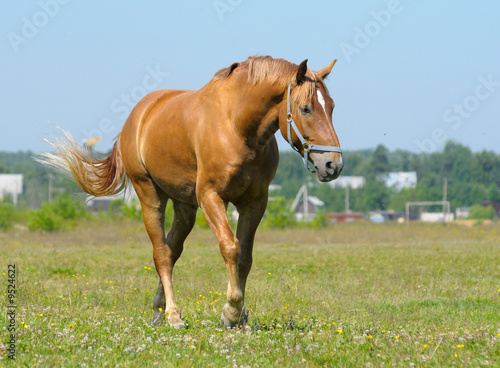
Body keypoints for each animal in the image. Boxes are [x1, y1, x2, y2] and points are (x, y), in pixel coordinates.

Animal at [40, 56, 344, 330]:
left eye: (331, 107)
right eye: (305, 108)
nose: (333, 164)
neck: (236, 126)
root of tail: (137, 116)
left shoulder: (254, 203)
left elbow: (245, 257)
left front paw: (239, 317)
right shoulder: (211, 197)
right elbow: (230, 247)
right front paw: (231, 310)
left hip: (184, 206)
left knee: (172, 249)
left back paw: (158, 309)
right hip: (150, 195)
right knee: (161, 254)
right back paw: (173, 315)